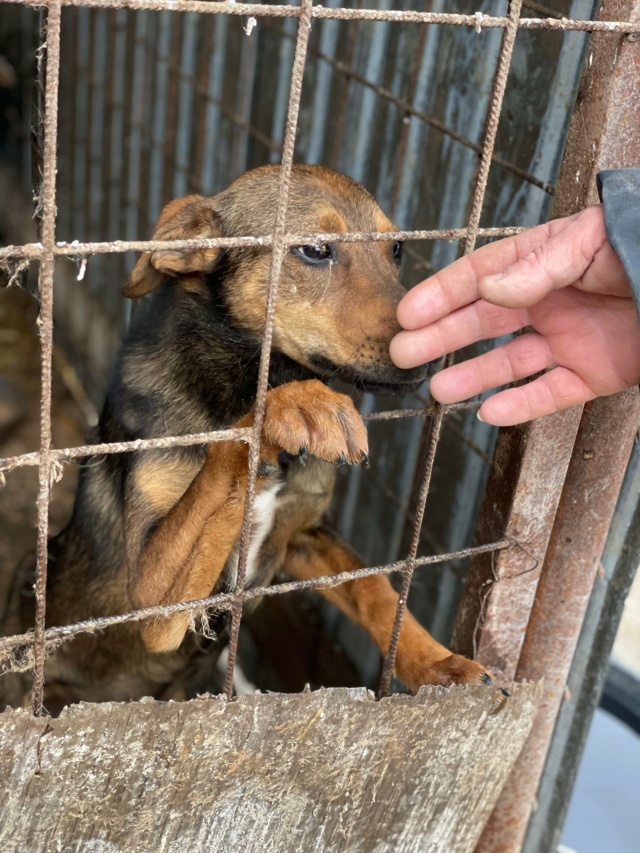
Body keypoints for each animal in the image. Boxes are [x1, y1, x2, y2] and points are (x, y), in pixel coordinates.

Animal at [0, 163, 496, 708]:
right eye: (314, 249)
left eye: (398, 249)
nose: (432, 354)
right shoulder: (150, 597)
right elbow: (231, 450)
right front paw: (298, 403)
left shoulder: (304, 536)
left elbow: (377, 591)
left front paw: (439, 663)